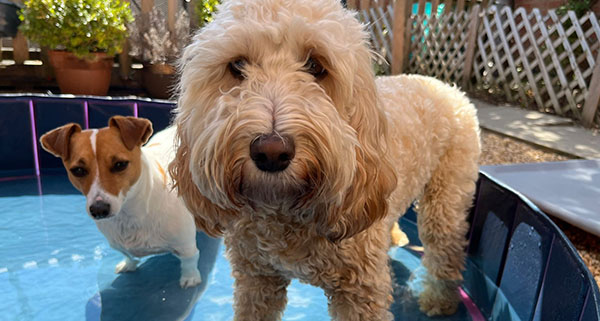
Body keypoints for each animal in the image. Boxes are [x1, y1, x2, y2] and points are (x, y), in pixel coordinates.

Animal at [41, 115, 204, 288]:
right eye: (78, 170)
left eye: (120, 164)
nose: (99, 209)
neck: (129, 215)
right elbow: (129, 256)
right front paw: (128, 264)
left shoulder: (186, 248)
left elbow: (189, 262)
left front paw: (190, 278)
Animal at [171, 1, 480, 318]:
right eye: (237, 66)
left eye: (316, 66)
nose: (271, 152)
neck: (284, 211)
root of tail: (444, 85)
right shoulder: (256, 279)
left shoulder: (361, 292)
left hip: (445, 200)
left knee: (446, 250)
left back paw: (439, 298)